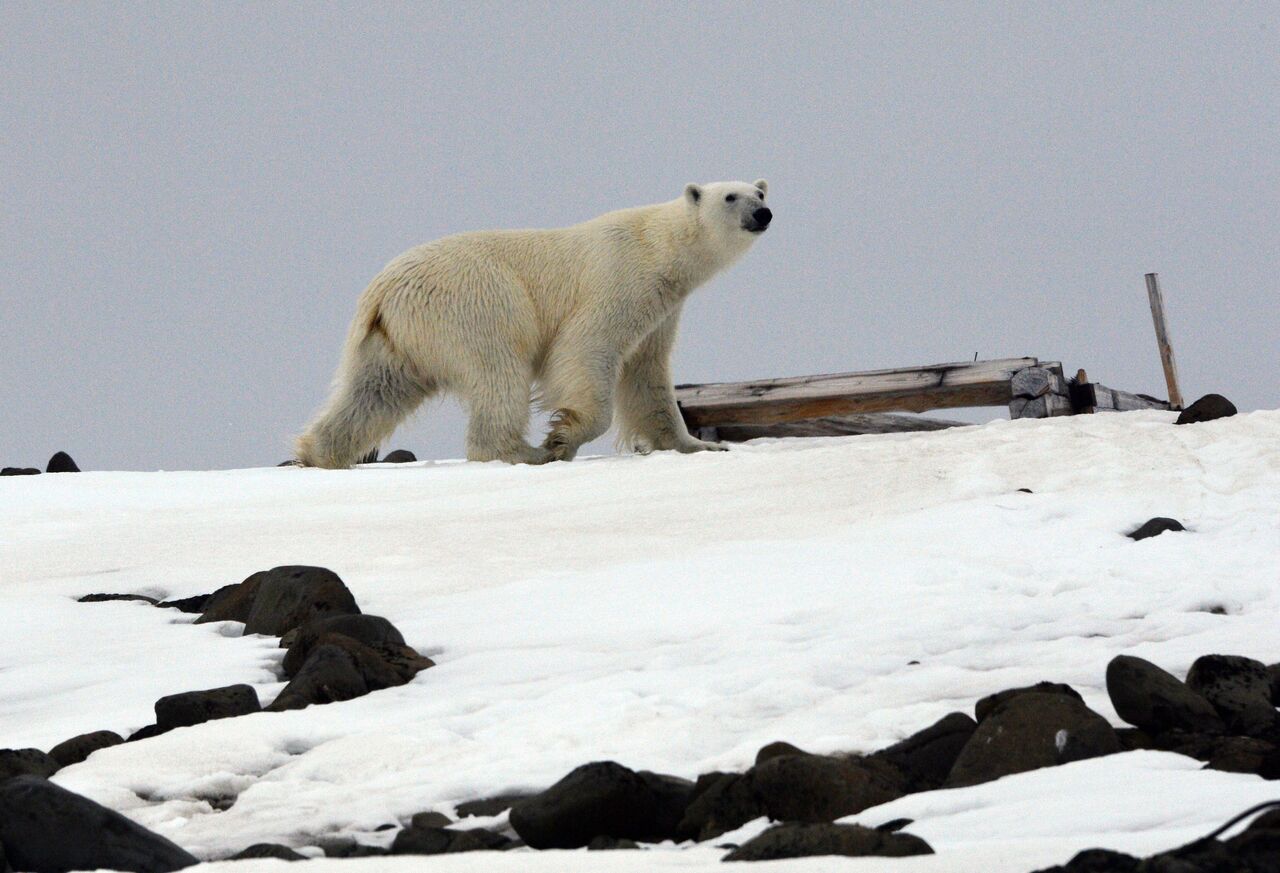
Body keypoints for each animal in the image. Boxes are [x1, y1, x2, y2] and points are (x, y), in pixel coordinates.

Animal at [294, 175, 768, 463]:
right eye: (731, 196)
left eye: (760, 193)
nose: (762, 214)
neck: (659, 247)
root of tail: (381, 290)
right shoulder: (620, 280)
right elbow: (585, 347)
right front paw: (561, 438)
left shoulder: (662, 310)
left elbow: (646, 376)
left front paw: (700, 446)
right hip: (476, 303)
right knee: (499, 371)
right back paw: (523, 452)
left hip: (395, 337)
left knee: (374, 391)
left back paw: (319, 452)